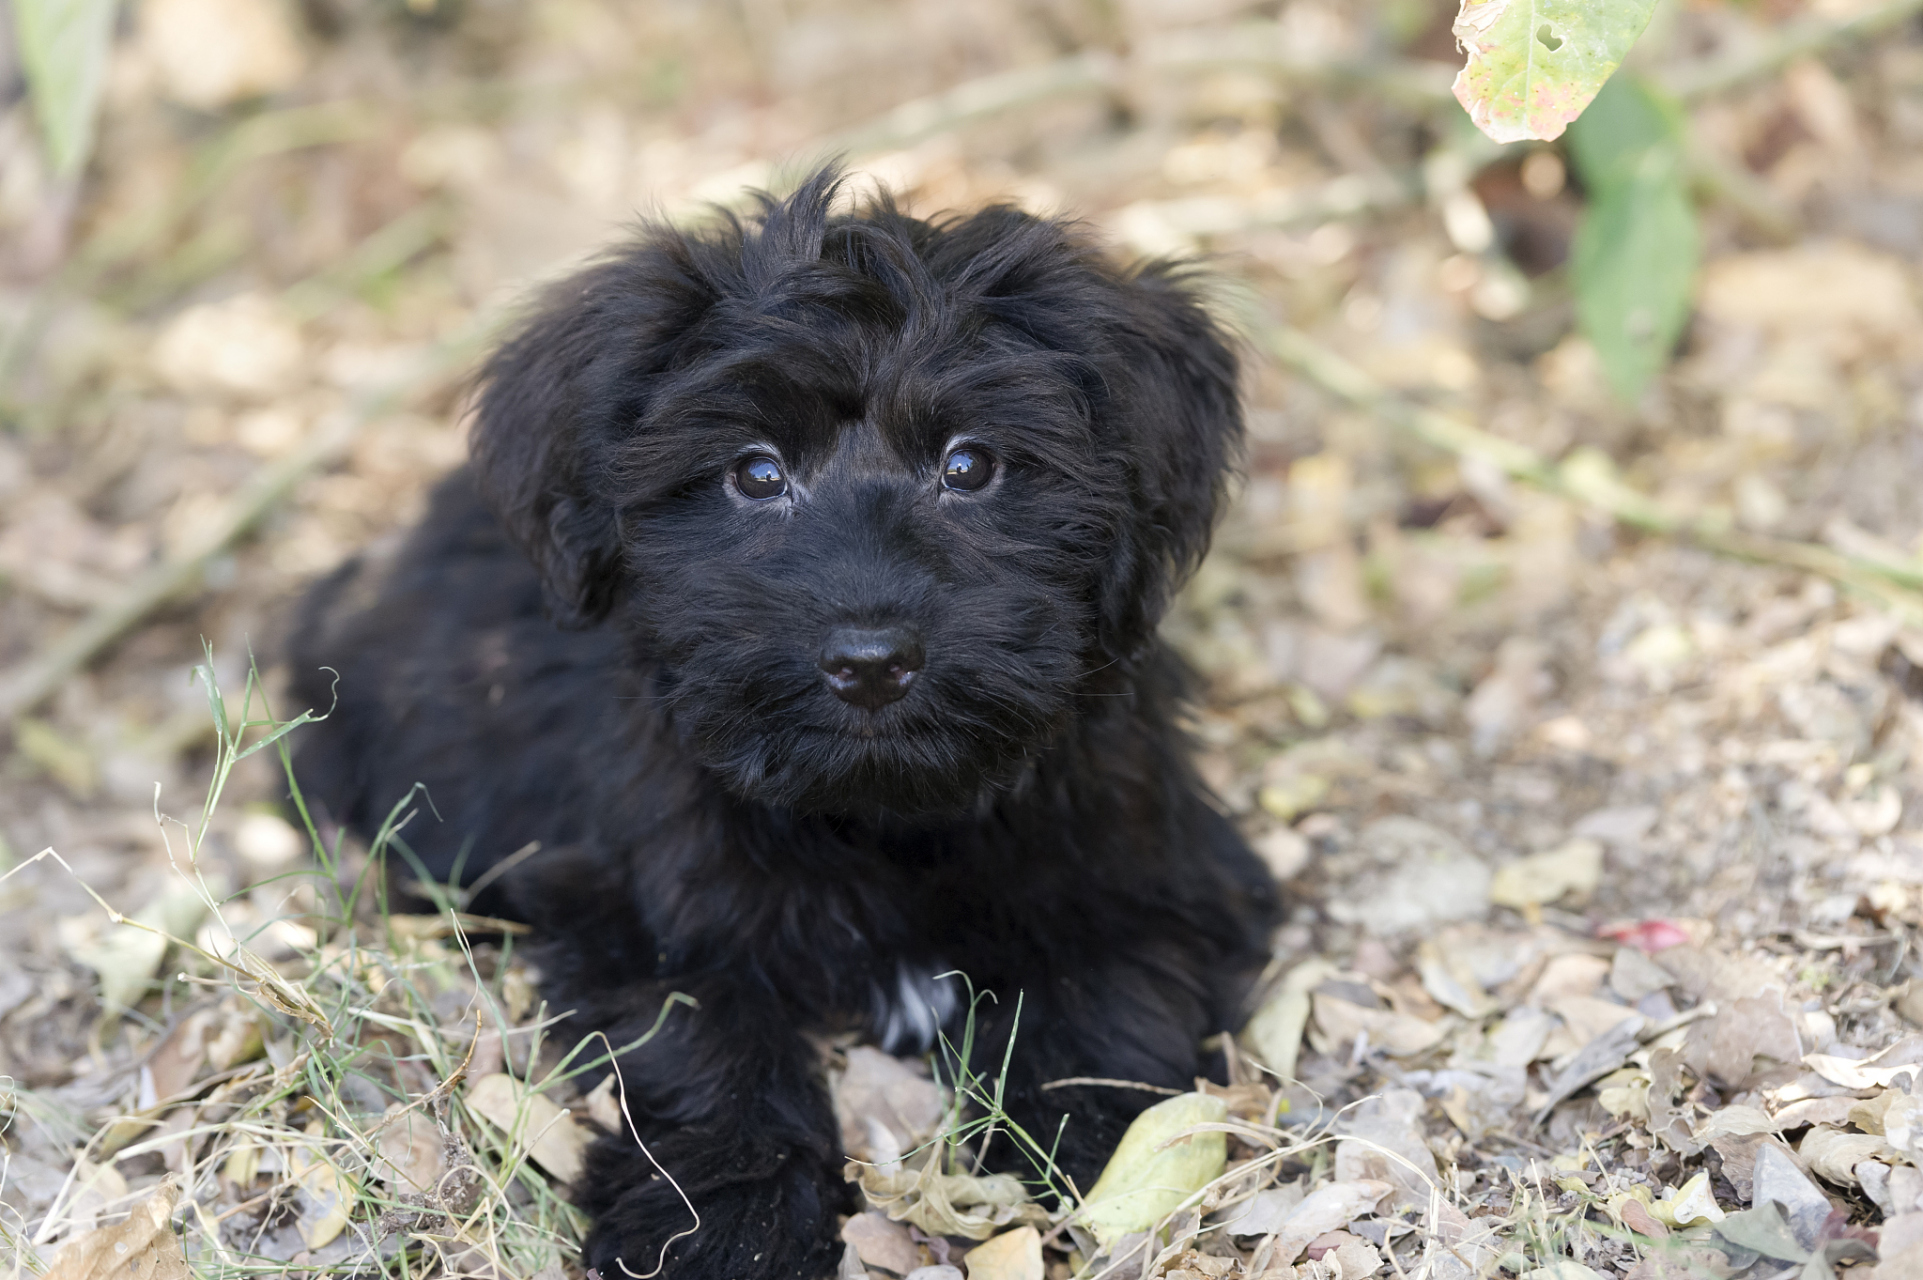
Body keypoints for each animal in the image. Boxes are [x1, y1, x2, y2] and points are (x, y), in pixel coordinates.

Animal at [288, 169, 1276, 1276]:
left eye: (970, 465)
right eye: (755, 473)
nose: (871, 660)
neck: (881, 815)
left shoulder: (1148, 854)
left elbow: (1106, 984)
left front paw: (1097, 1152)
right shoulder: (642, 903)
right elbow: (706, 1042)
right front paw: (727, 1224)